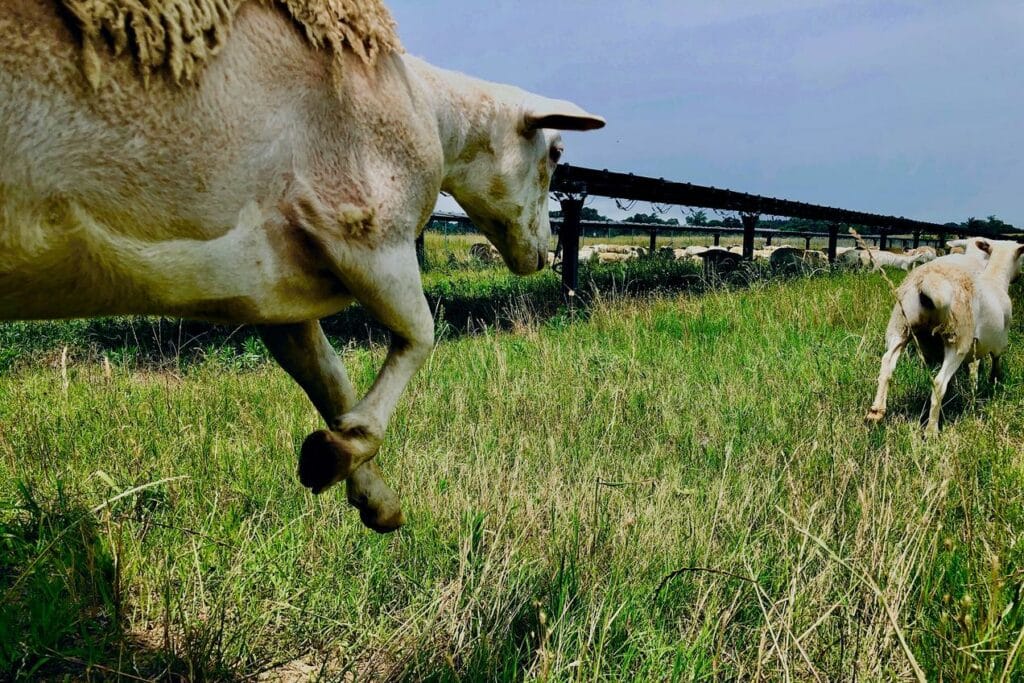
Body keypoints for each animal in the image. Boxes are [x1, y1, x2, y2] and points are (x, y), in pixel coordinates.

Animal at [866, 238, 1019, 435]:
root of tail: (928, 285)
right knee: (939, 383)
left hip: (900, 326)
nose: (1018, 277)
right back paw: (931, 431)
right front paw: (991, 383)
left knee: (887, 363)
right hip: (957, 340)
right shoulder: (996, 343)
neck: (996, 278)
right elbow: (992, 363)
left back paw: (876, 412)